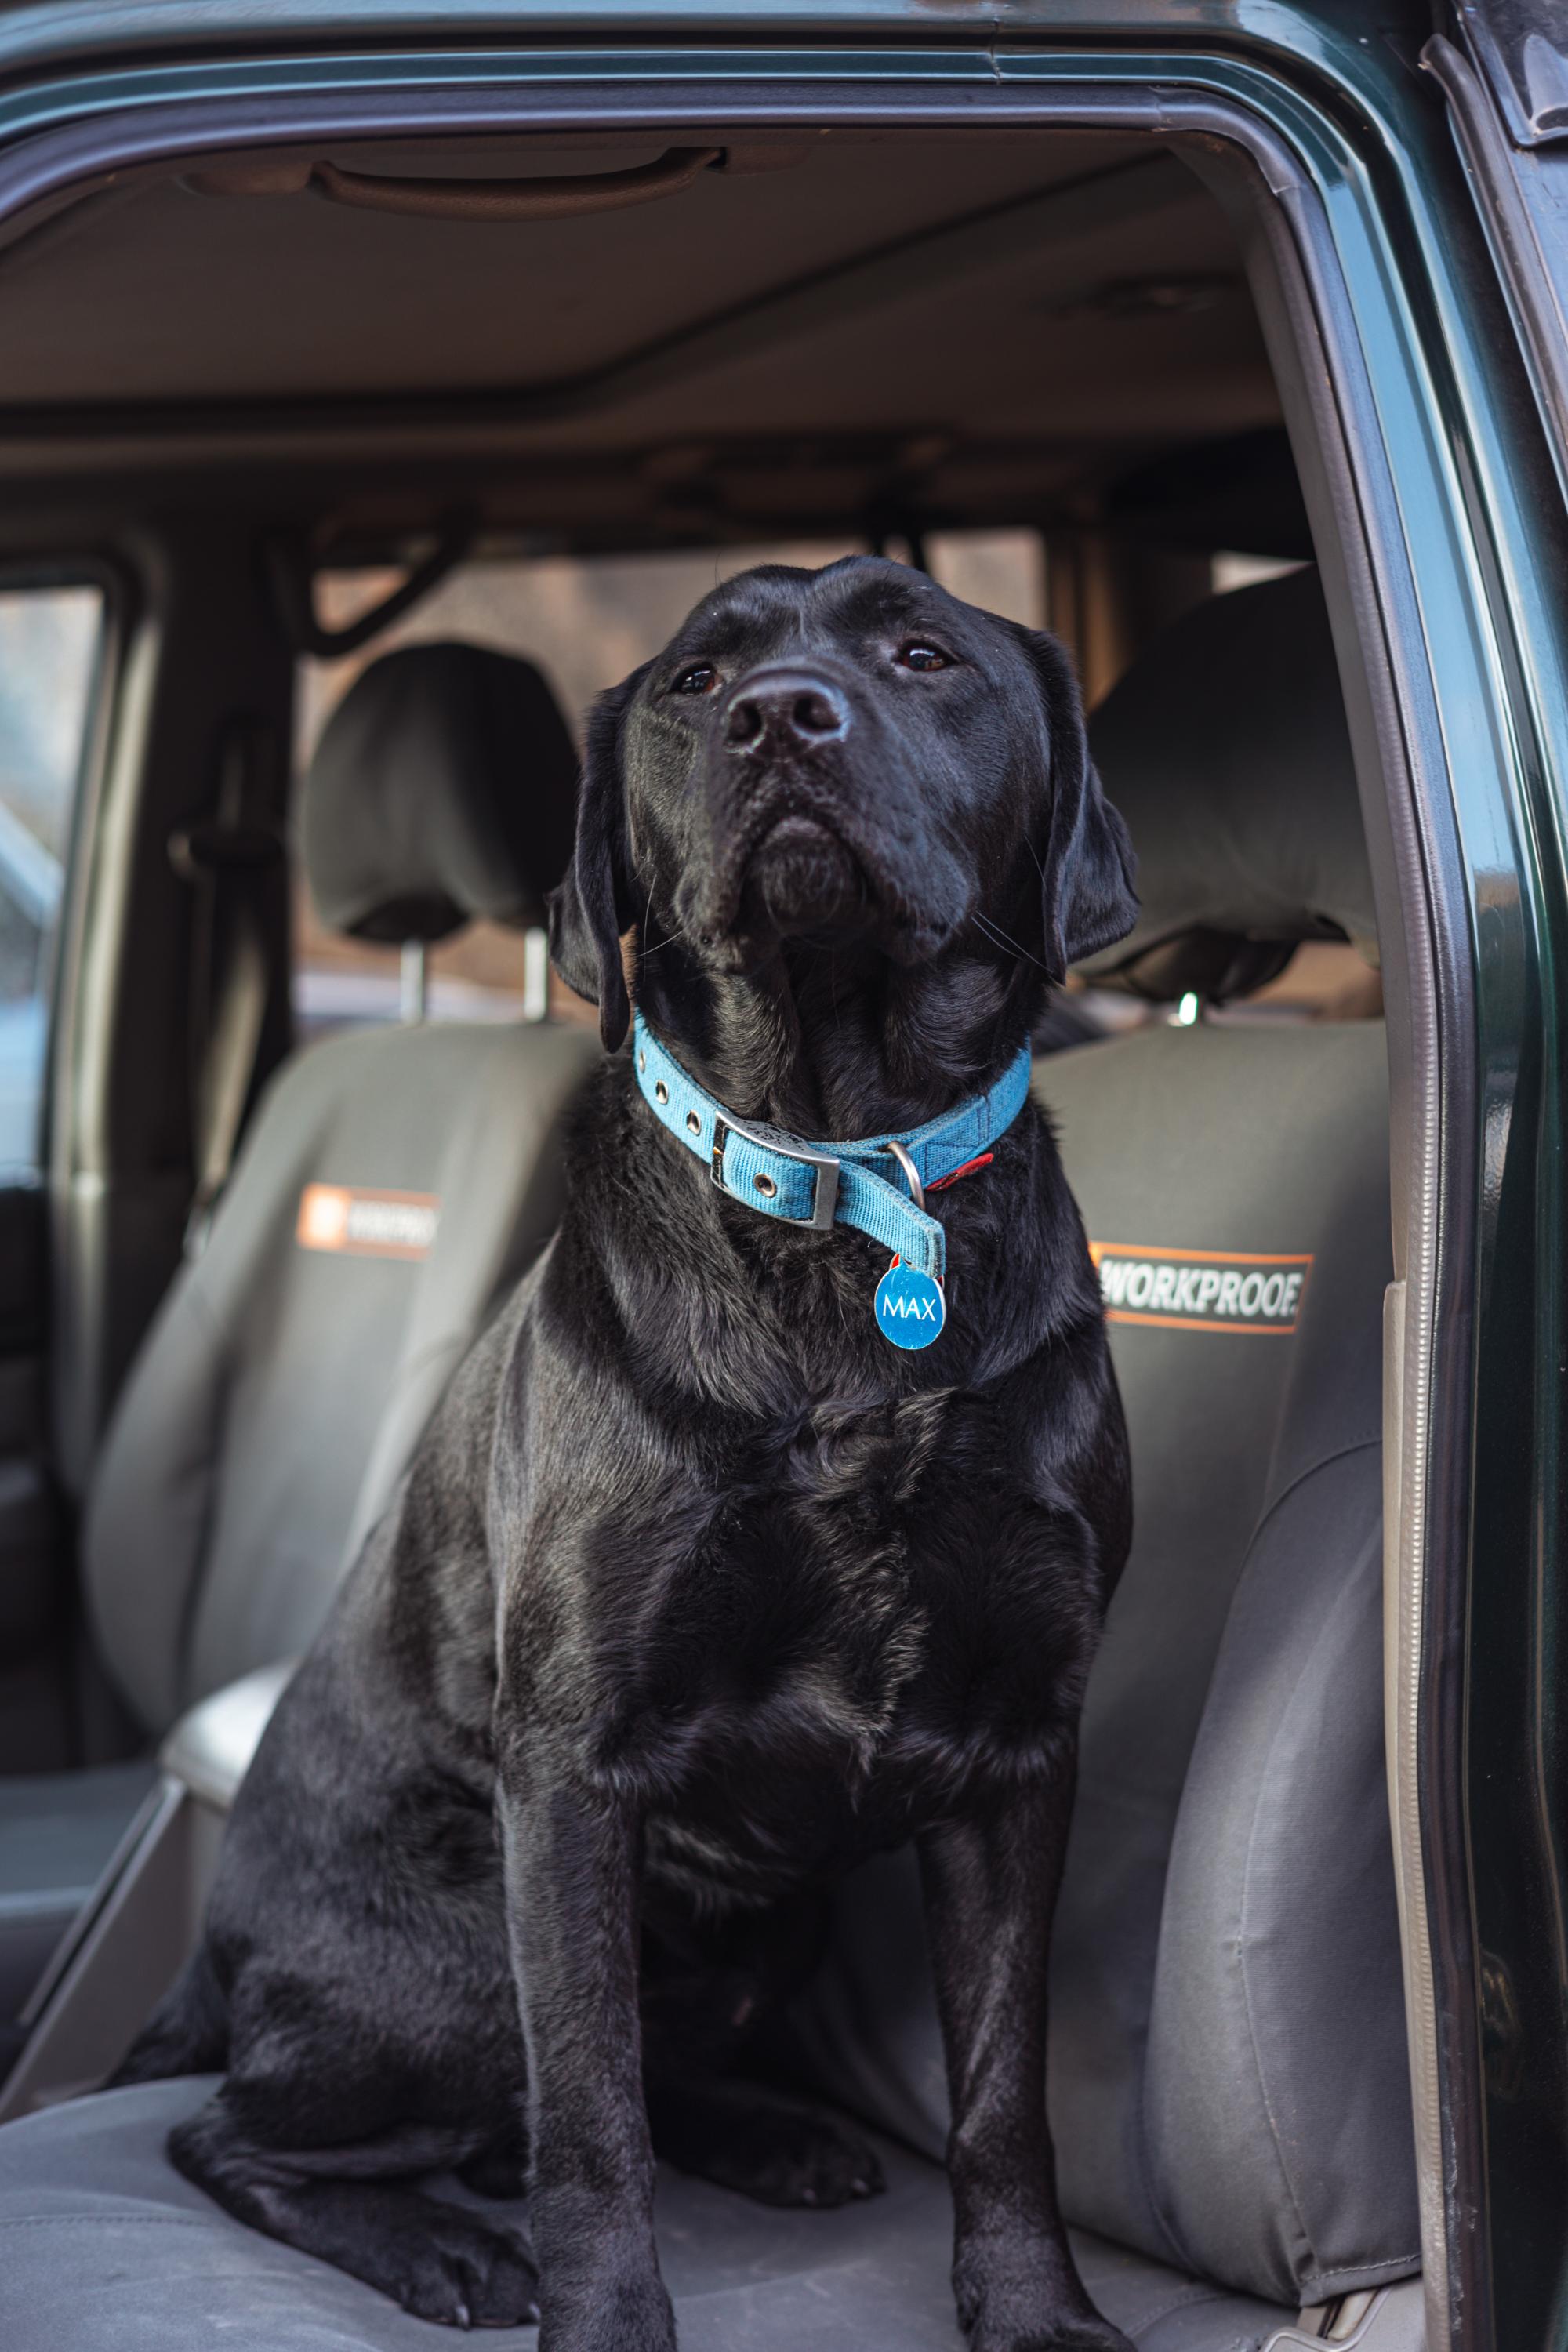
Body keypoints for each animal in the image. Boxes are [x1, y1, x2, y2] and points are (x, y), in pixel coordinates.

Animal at [113, 555, 1142, 2352]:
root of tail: (214, 1959)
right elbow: (589, 2121)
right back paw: (443, 2249)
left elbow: (1001, 2095)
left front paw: (1032, 2313)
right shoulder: (572, 1777)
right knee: (232, 2131)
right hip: (463, 1950)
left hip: (773, 1918)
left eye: (921, 651)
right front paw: (598, 2319)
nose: (783, 718)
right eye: (695, 681)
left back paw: (776, 2137)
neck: (841, 1185)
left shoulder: (1021, 1752)